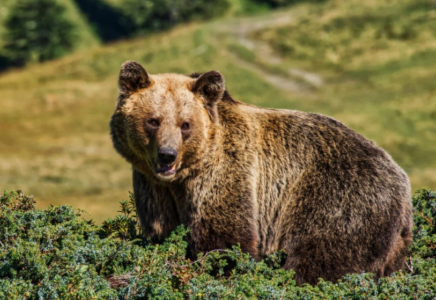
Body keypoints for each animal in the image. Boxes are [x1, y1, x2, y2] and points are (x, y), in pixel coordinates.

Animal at [109, 60, 412, 284]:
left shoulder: (226, 174)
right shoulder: (153, 188)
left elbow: (224, 238)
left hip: (337, 199)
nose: (167, 154)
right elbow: (161, 230)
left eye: (185, 124)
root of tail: (401, 179)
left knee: (319, 260)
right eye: (153, 120)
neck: (184, 177)